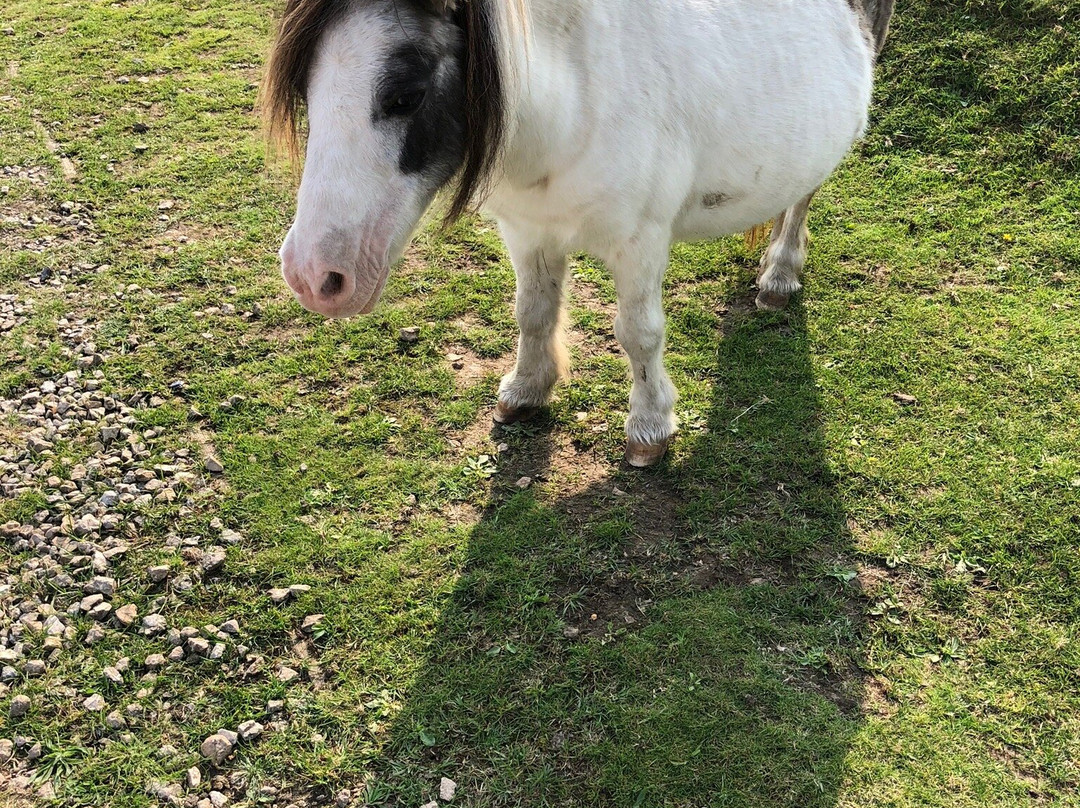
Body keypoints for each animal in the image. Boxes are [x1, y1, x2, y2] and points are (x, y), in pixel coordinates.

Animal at [263, 0, 894, 464]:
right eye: (305, 86)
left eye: (405, 95)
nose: (314, 276)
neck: (578, 88)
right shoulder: (528, 230)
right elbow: (533, 313)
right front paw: (526, 390)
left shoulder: (640, 241)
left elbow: (639, 333)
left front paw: (649, 427)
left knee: (804, 195)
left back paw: (780, 273)